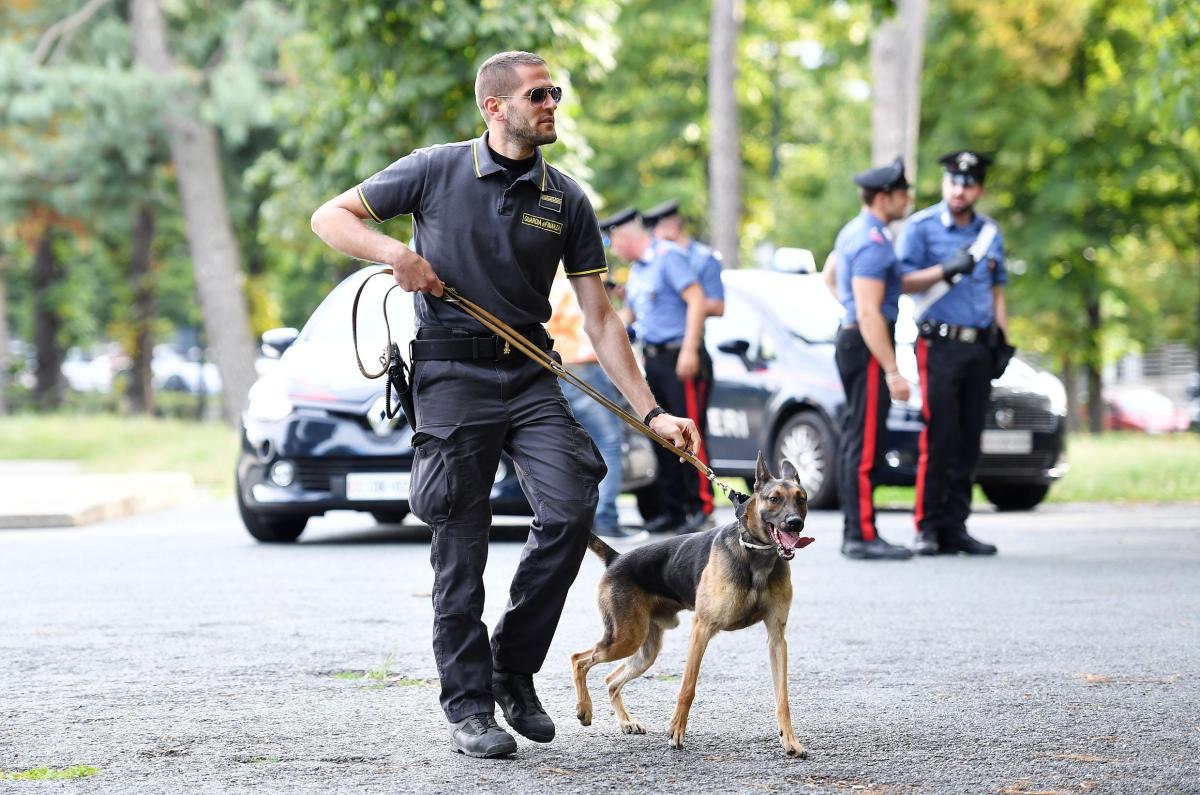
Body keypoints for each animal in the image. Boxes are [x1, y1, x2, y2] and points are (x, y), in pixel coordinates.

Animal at [571, 453, 816, 758]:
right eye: (774, 499)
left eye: (802, 499)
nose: (795, 523)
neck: (754, 554)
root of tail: (616, 558)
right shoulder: (702, 629)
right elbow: (688, 686)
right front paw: (676, 730)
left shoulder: (776, 637)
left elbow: (782, 696)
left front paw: (790, 740)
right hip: (624, 638)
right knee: (579, 659)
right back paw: (584, 709)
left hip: (643, 649)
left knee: (611, 680)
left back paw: (626, 722)